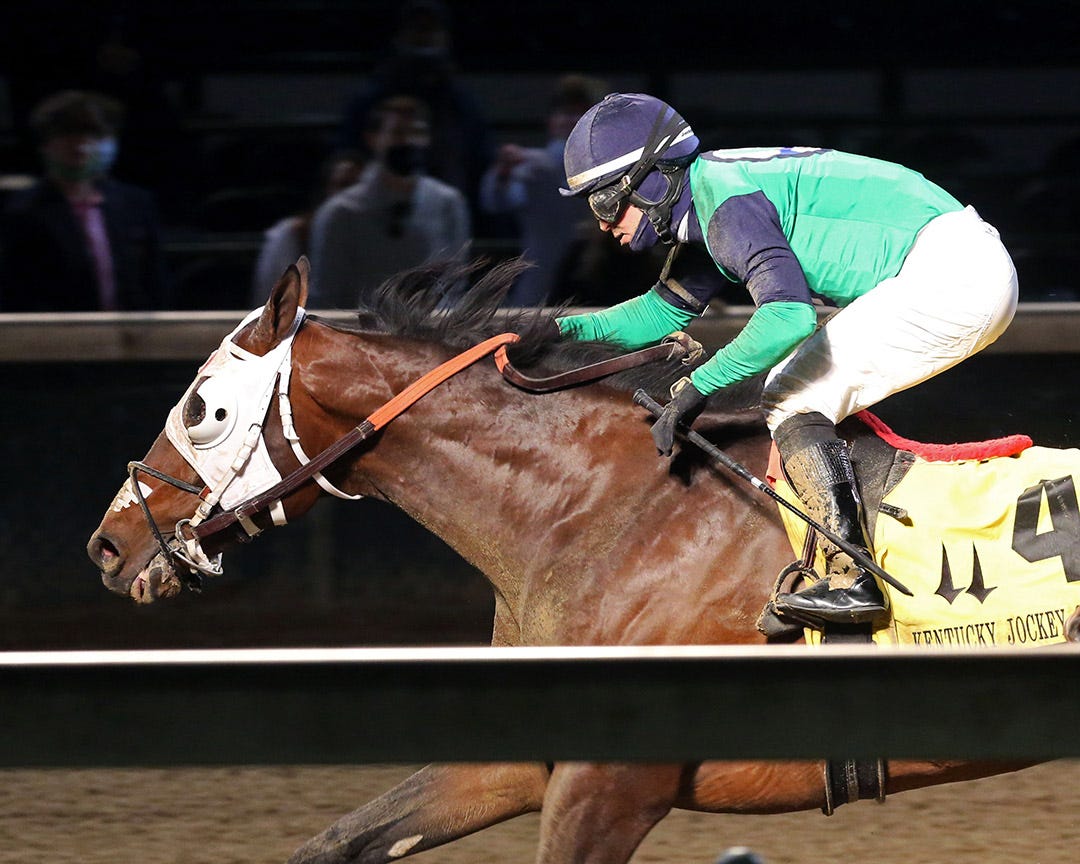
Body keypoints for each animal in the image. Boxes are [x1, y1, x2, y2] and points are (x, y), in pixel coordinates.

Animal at [87, 257, 1034, 864]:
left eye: (203, 409)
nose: (109, 541)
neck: (602, 510)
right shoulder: (530, 755)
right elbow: (339, 839)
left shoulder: (610, 782)